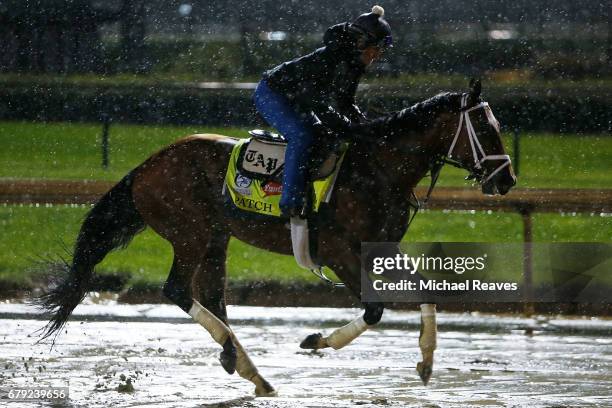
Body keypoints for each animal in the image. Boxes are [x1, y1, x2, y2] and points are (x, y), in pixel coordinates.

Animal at [35, 79, 516, 396]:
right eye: (485, 128)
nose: (507, 179)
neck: (377, 169)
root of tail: (147, 165)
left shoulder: (381, 246)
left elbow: (427, 290)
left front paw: (427, 360)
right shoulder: (339, 250)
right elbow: (375, 309)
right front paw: (316, 341)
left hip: (216, 237)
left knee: (213, 295)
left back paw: (241, 363)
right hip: (190, 232)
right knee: (177, 289)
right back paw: (245, 363)